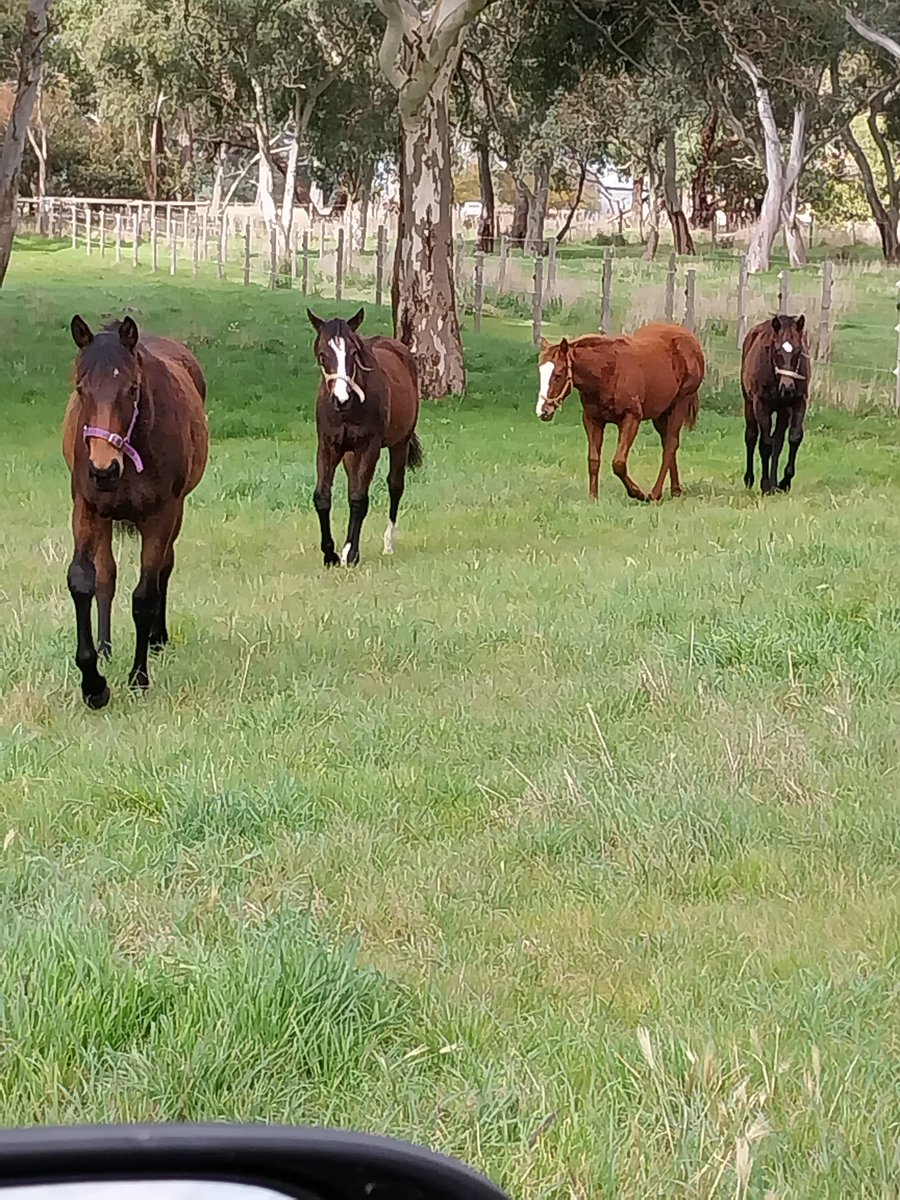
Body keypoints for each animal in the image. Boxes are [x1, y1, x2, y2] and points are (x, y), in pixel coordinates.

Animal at [62, 316, 207, 710]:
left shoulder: (160, 516)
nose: (103, 469)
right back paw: (105, 647)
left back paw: (157, 638)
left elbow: (144, 595)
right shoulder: (87, 507)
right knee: (107, 577)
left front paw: (139, 677)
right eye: (81, 388)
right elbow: (84, 580)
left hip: (176, 513)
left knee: (164, 571)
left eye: (131, 389)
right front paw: (93, 682)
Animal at [309, 304, 422, 566]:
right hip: (350, 454)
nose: (341, 399)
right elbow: (322, 497)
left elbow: (359, 499)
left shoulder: (369, 447)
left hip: (399, 443)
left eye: (354, 353)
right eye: (322, 354)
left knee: (395, 486)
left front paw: (351, 553)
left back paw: (388, 543)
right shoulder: (328, 447)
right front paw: (330, 554)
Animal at [535, 319, 705, 501]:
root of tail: (691, 340)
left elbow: (618, 463)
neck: (608, 372)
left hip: (680, 404)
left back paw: (654, 494)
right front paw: (593, 498)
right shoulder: (592, 420)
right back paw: (675, 490)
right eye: (540, 372)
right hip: (660, 413)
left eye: (558, 374)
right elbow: (593, 460)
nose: (543, 411)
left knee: (670, 445)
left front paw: (637, 493)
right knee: (668, 442)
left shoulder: (631, 418)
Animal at [744, 314, 816, 496]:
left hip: (783, 411)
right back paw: (750, 479)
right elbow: (765, 444)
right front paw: (764, 484)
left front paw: (784, 482)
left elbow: (793, 438)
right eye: (776, 350)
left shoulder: (798, 402)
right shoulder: (761, 404)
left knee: (778, 442)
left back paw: (774, 484)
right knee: (751, 436)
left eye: (799, 350)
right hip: (748, 402)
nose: (787, 387)